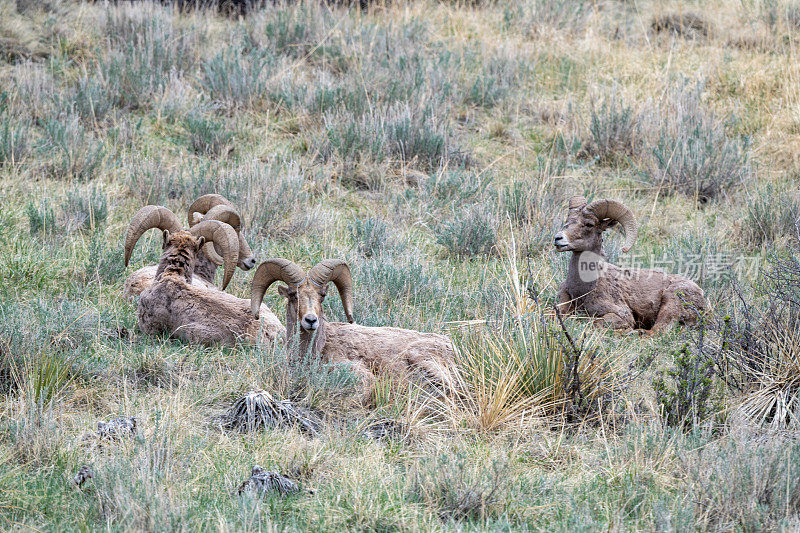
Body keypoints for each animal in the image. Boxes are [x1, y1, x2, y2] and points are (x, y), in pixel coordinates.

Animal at [552, 195, 704, 332]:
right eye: (567, 221)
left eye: (589, 224)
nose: (558, 238)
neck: (581, 290)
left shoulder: (622, 315)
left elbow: (594, 322)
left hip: (671, 300)